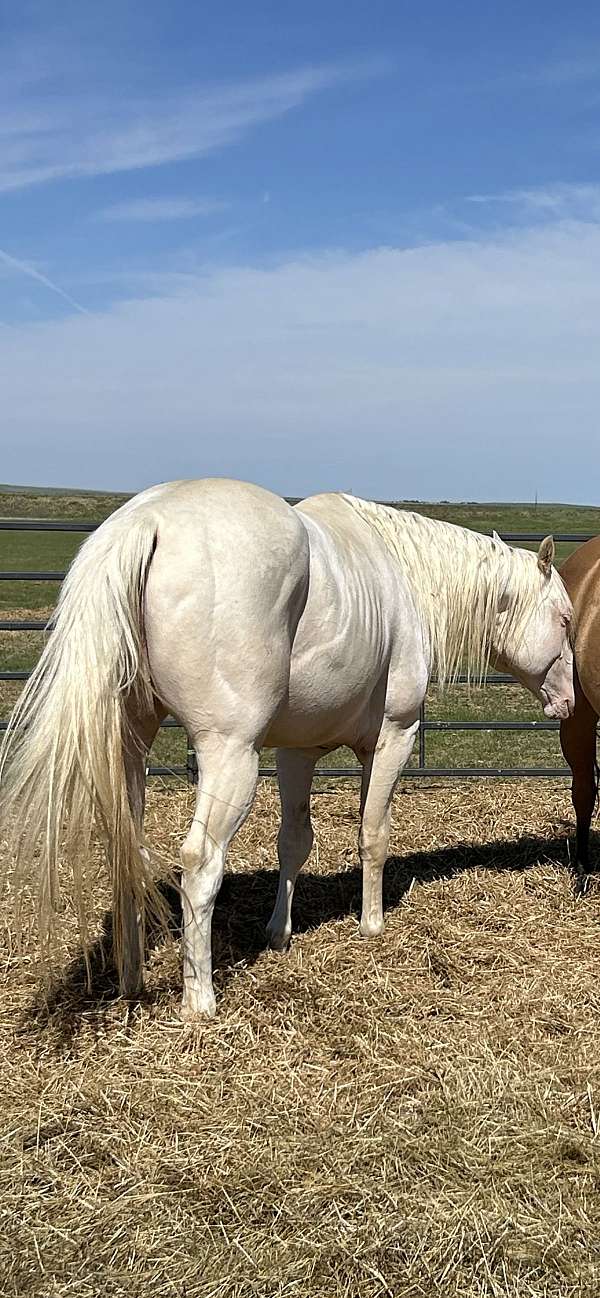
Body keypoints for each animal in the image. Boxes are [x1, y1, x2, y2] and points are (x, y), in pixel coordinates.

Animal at [0, 479, 574, 1018]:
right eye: (565, 619)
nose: (568, 702)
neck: (404, 578)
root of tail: (148, 522)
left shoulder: (297, 753)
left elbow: (294, 842)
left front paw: (280, 932)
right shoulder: (394, 736)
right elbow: (373, 833)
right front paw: (371, 924)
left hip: (130, 750)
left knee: (127, 851)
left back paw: (132, 979)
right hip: (230, 757)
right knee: (200, 862)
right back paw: (199, 1001)